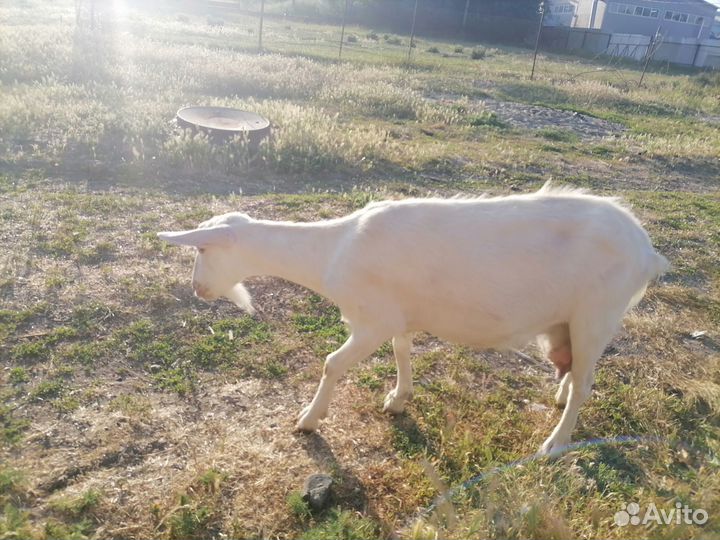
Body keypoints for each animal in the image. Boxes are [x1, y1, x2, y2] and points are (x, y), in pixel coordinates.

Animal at [158, 185, 668, 455]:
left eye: (202, 249)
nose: (196, 290)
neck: (332, 250)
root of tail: (647, 252)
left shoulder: (372, 320)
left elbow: (331, 364)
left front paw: (308, 420)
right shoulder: (397, 316)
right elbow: (402, 351)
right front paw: (398, 400)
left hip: (598, 312)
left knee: (587, 383)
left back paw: (554, 444)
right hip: (570, 321)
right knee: (575, 369)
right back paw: (560, 396)